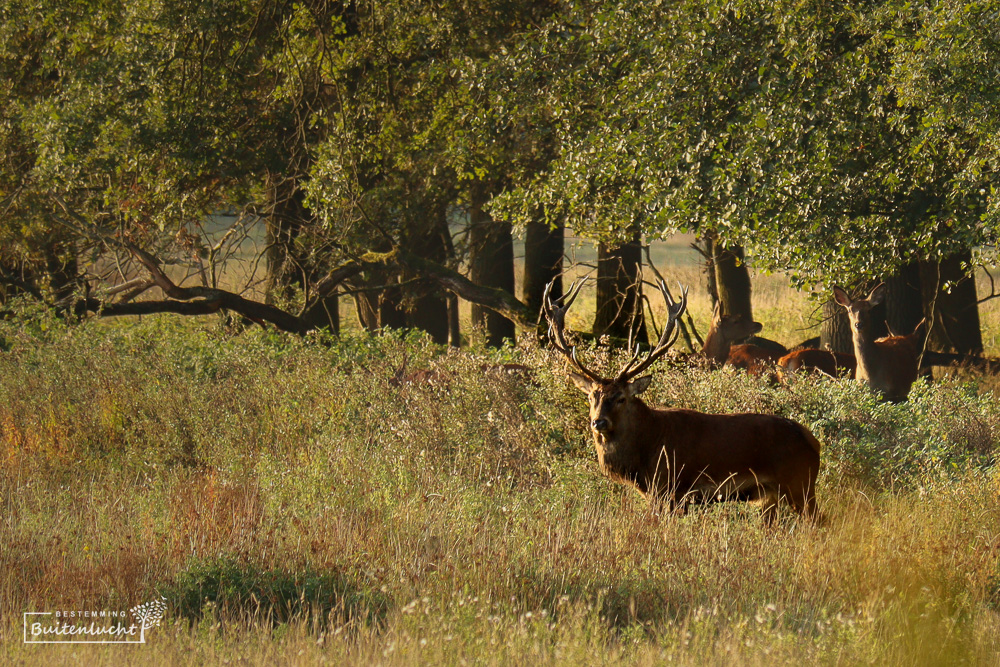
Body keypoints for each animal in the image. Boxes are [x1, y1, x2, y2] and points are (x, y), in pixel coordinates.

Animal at [548, 276, 820, 516]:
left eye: (621, 398)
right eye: (591, 397)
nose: (599, 422)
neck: (644, 456)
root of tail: (813, 441)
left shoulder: (672, 489)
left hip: (800, 484)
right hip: (771, 496)